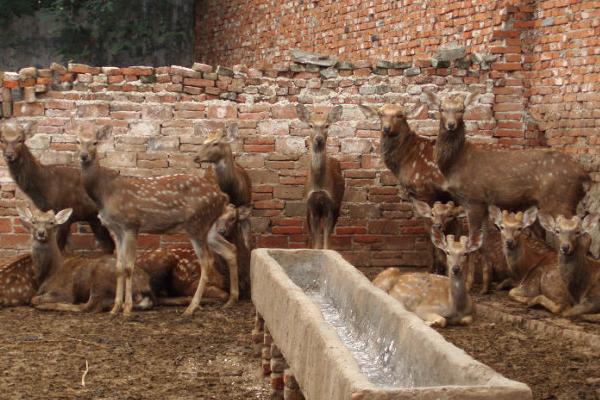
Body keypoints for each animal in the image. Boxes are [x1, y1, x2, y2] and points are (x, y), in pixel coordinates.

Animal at [0, 117, 113, 253]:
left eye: (20, 140)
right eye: (2, 140)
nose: (9, 155)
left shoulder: (65, 213)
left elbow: (60, 248)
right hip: (94, 219)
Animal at [18, 206, 156, 312]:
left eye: (52, 222)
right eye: (33, 221)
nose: (41, 233)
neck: (48, 274)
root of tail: (146, 287)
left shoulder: (64, 291)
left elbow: (33, 299)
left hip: (100, 278)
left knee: (89, 306)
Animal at [75, 125, 234, 316]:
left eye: (95, 142)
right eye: (77, 141)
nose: (84, 156)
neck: (104, 193)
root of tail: (222, 196)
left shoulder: (131, 224)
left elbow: (129, 266)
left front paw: (127, 309)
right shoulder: (115, 229)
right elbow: (119, 267)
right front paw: (114, 309)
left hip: (196, 222)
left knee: (207, 260)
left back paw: (191, 308)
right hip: (209, 226)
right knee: (229, 250)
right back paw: (231, 300)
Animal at [296, 102, 344, 250]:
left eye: (327, 125)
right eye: (310, 125)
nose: (318, 138)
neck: (318, 185)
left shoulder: (331, 203)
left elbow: (326, 242)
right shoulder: (311, 205)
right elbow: (316, 242)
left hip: (338, 203)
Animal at [426, 92, 592, 245]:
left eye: (461, 109)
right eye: (441, 109)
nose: (451, 125)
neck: (454, 165)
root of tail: (584, 175)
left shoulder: (474, 198)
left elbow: (473, 237)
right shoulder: (483, 202)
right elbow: (483, 239)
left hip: (560, 199)